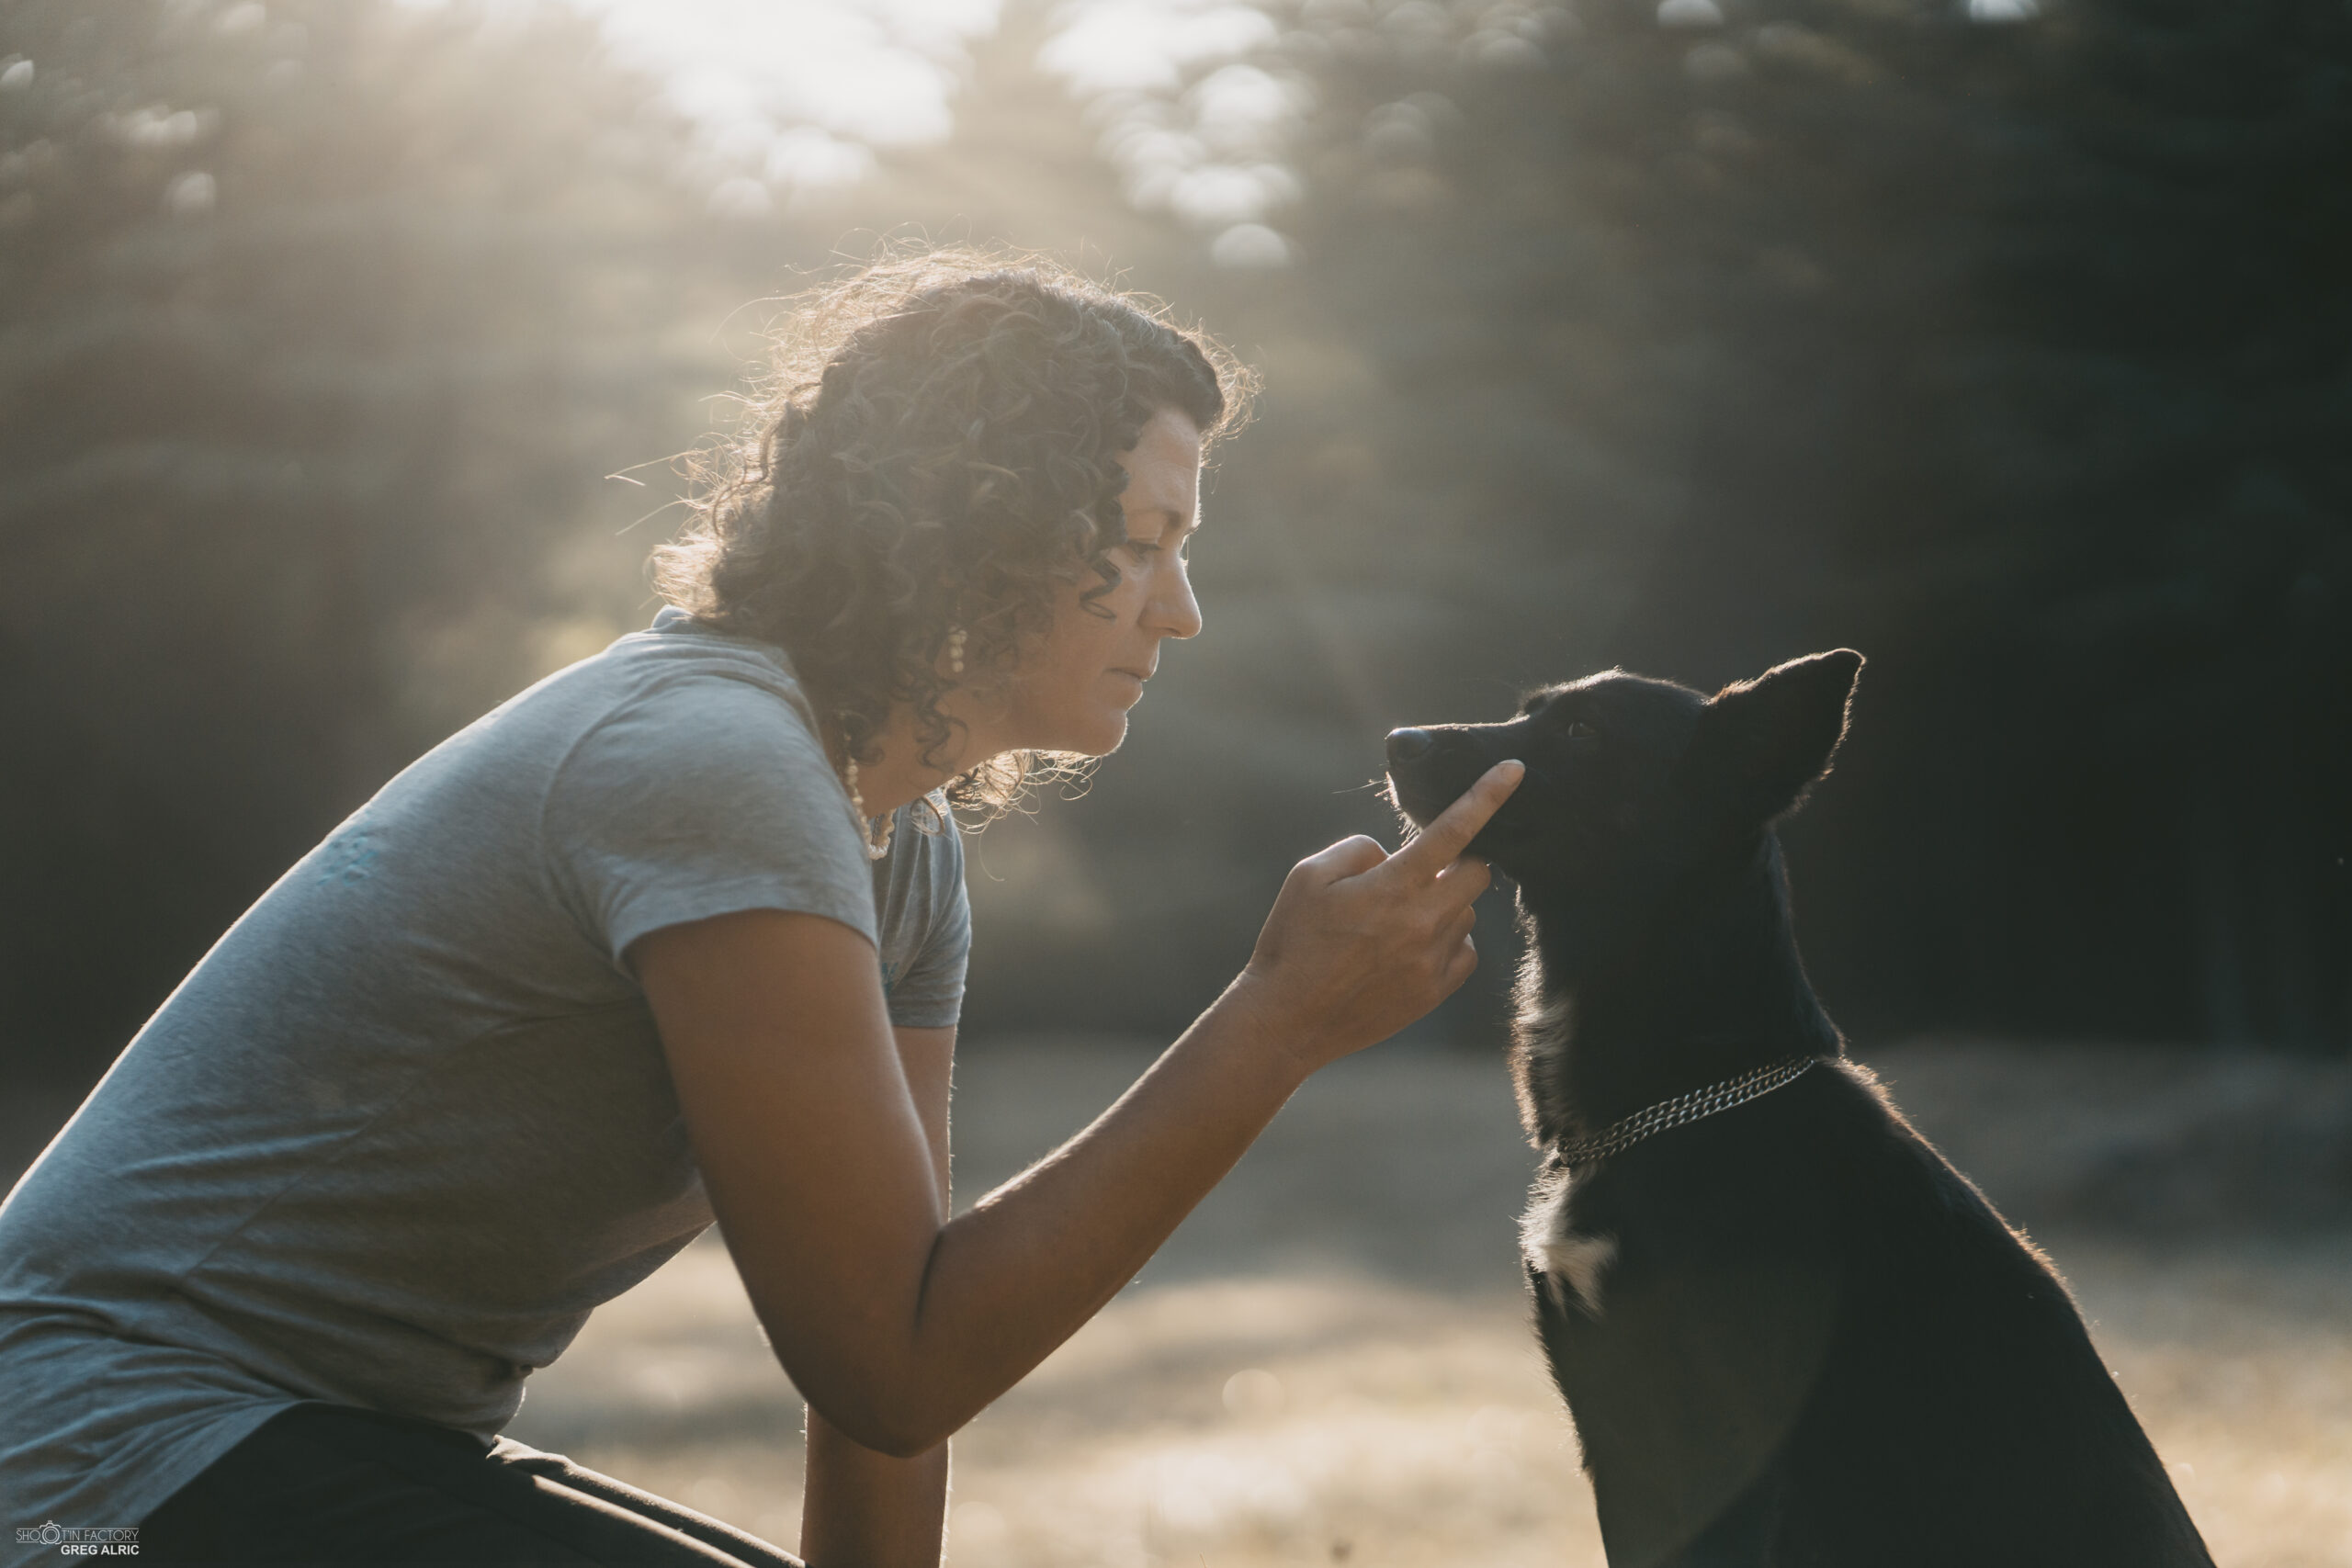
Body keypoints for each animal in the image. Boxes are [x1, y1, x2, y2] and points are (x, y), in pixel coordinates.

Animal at [1374, 649, 2201, 1568]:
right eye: (1531, 713)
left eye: (1583, 731)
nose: (1397, 740)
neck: (1687, 1096)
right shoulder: (1617, 1441)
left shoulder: (1723, 1455)